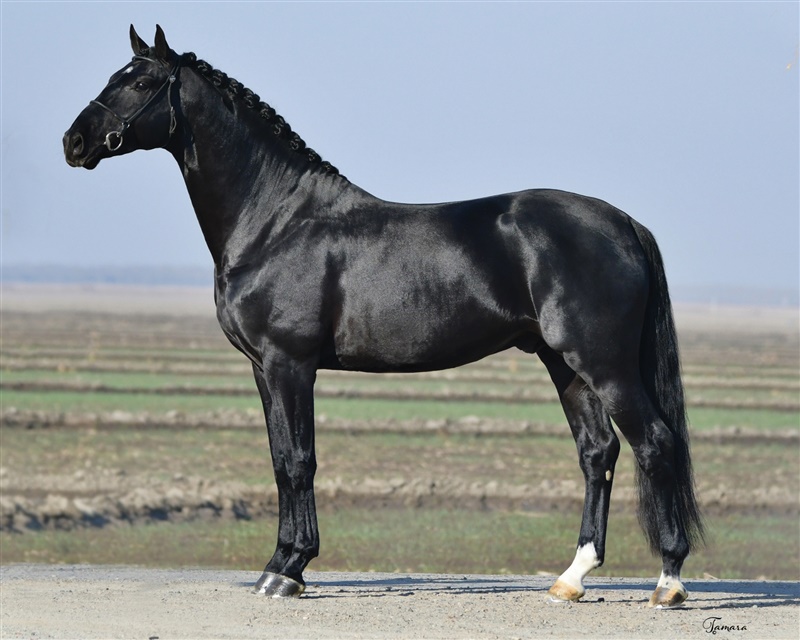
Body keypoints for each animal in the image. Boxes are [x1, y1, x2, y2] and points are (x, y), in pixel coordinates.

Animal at [63, 25, 704, 607]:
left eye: (140, 82)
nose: (75, 141)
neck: (275, 221)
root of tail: (623, 223)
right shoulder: (262, 368)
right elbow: (279, 459)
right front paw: (281, 563)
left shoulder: (290, 363)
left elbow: (298, 461)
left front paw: (288, 570)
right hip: (562, 361)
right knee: (598, 452)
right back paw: (571, 579)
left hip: (603, 362)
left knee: (654, 443)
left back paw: (668, 582)